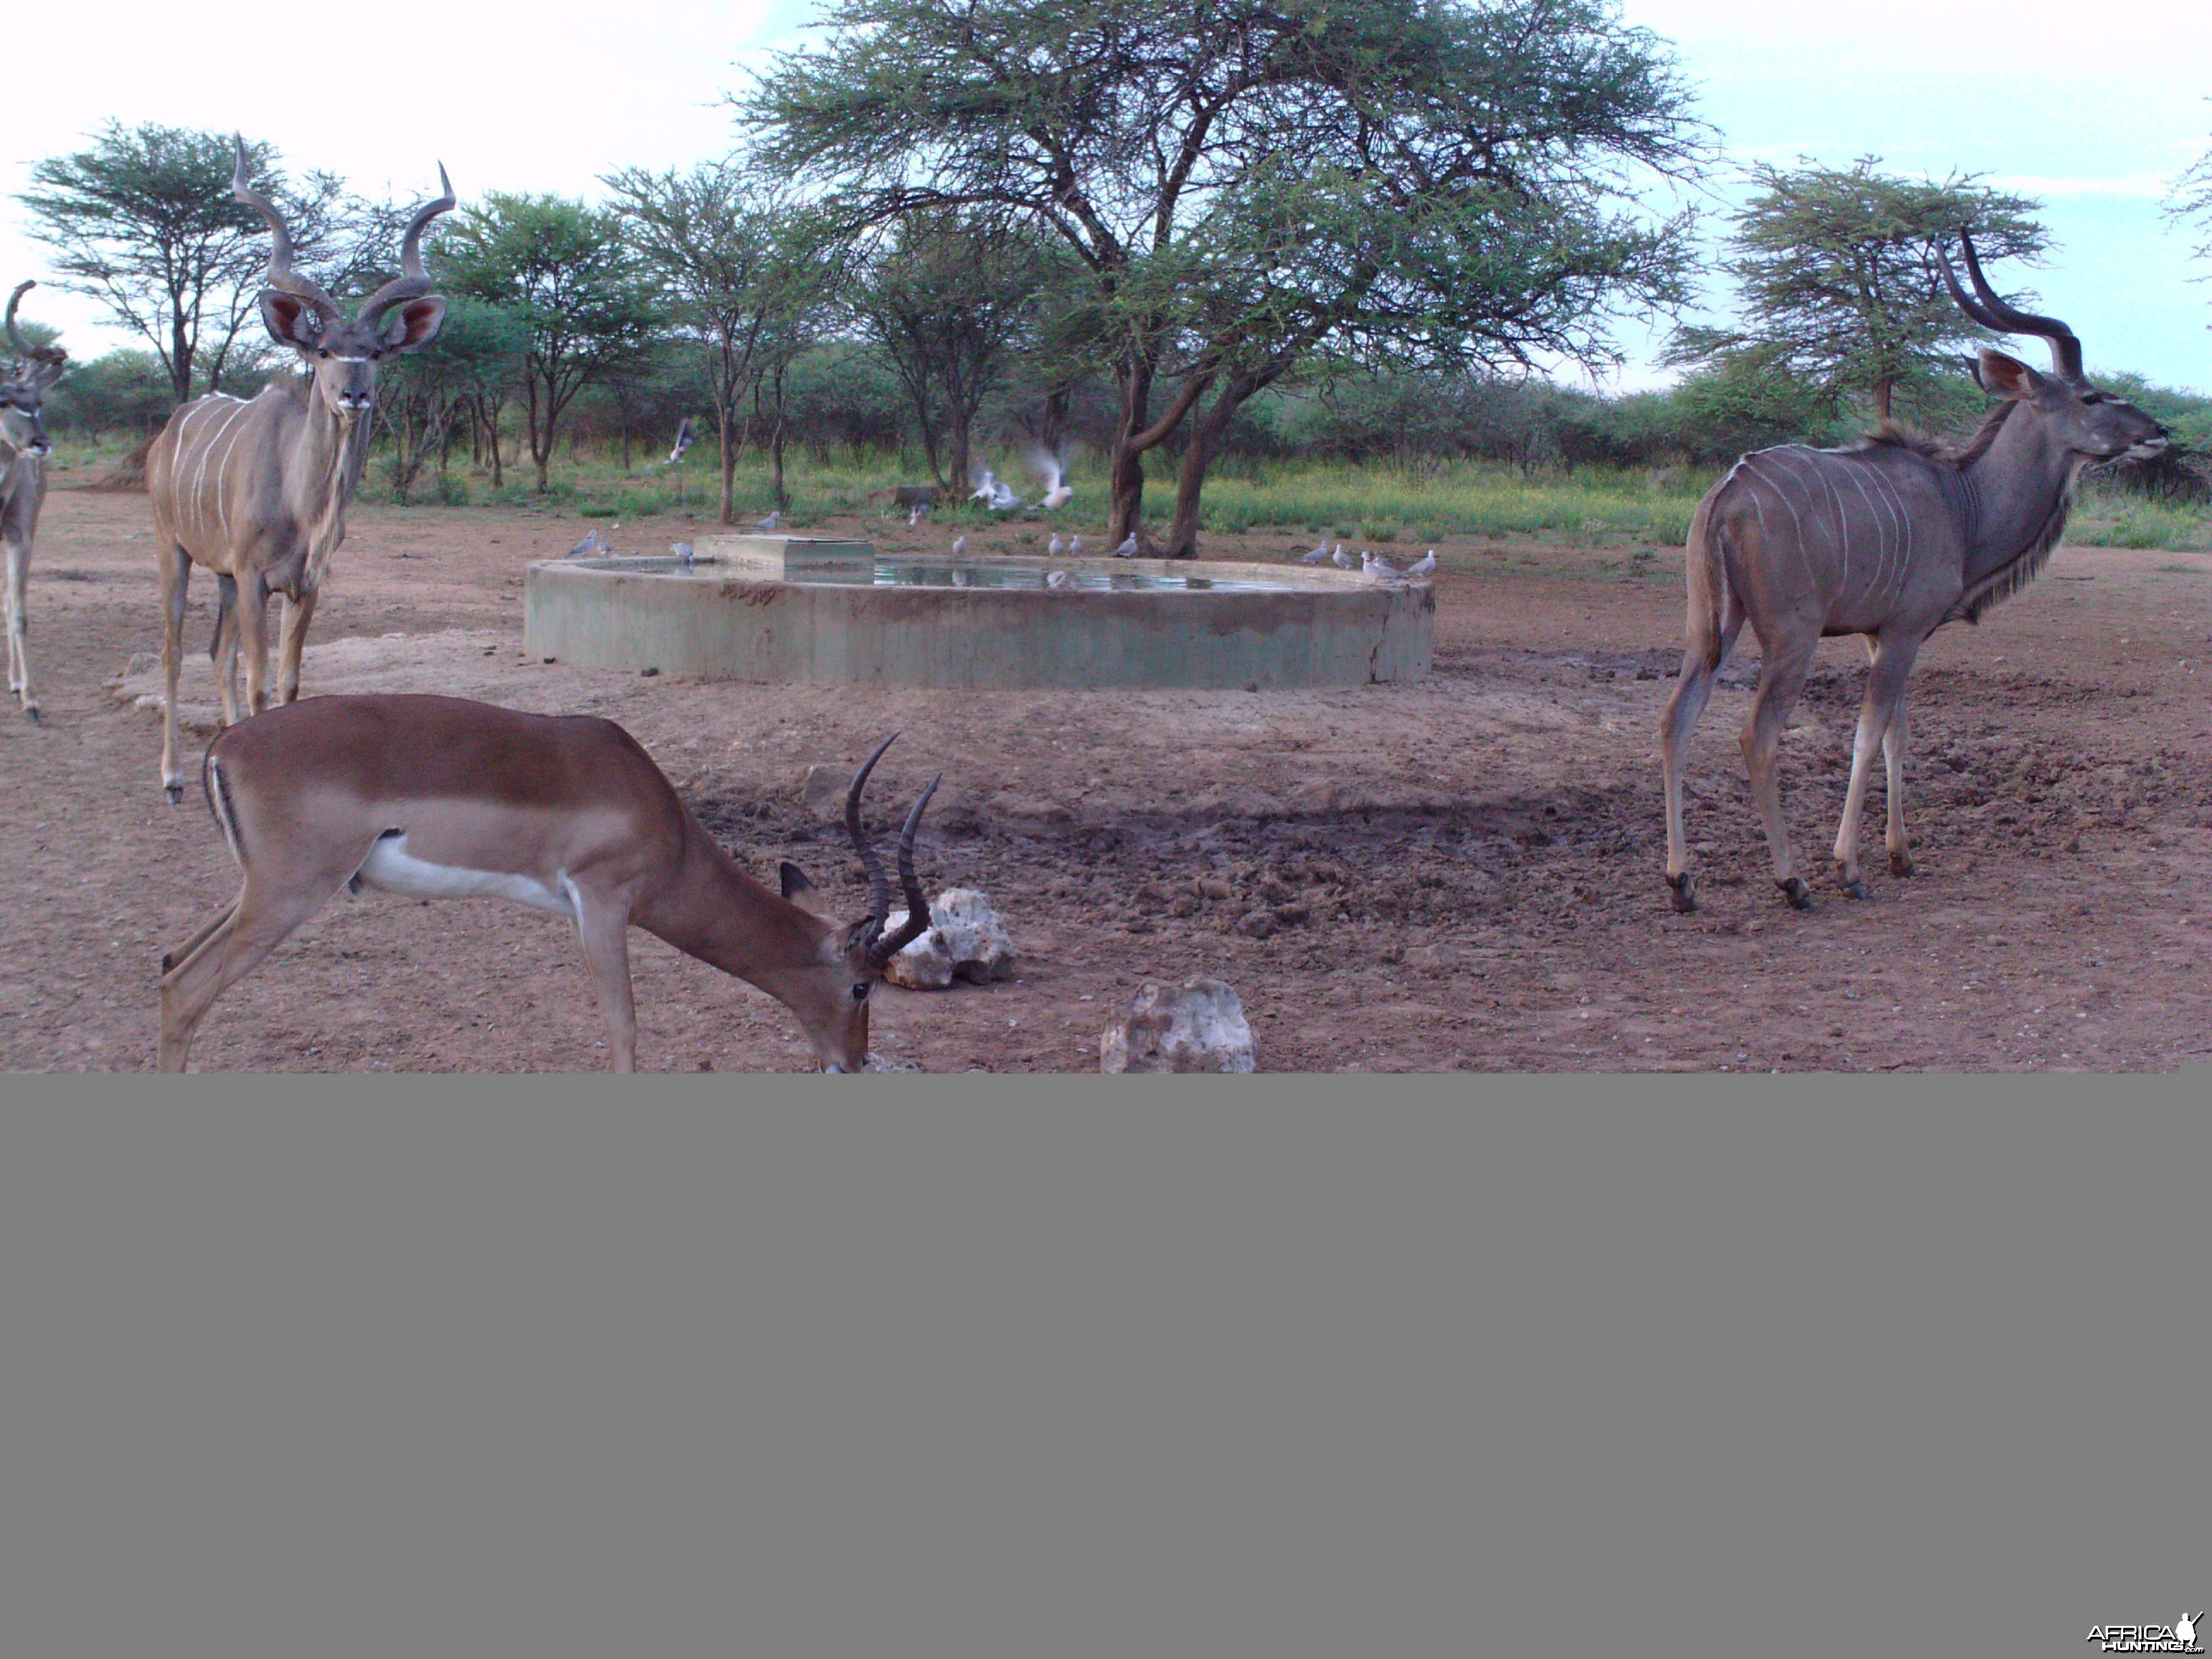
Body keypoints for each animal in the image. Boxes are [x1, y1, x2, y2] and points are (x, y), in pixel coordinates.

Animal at [150, 136, 453, 800]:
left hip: (223, 576)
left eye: (376, 352)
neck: (301, 501)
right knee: (174, 648)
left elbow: (287, 683)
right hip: (176, 552)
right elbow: (262, 683)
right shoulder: (255, 578)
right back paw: (174, 777)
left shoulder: (304, 584)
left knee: (216, 653)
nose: (354, 394)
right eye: (322, 350)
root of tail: (165, 432)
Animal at [1663, 231, 2158, 911]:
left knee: (1676, 720)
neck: (1962, 501)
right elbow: (1868, 736)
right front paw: (1850, 868)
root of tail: (1727, 493)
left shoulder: (1886, 637)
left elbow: (1898, 735)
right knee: (1756, 736)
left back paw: (1682, 882)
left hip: (1711, 628)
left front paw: (1902, 856)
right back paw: (1794, 881)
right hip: (1791, 638)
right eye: (2091, 397)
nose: (2158, 431)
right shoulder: (1901, 634)